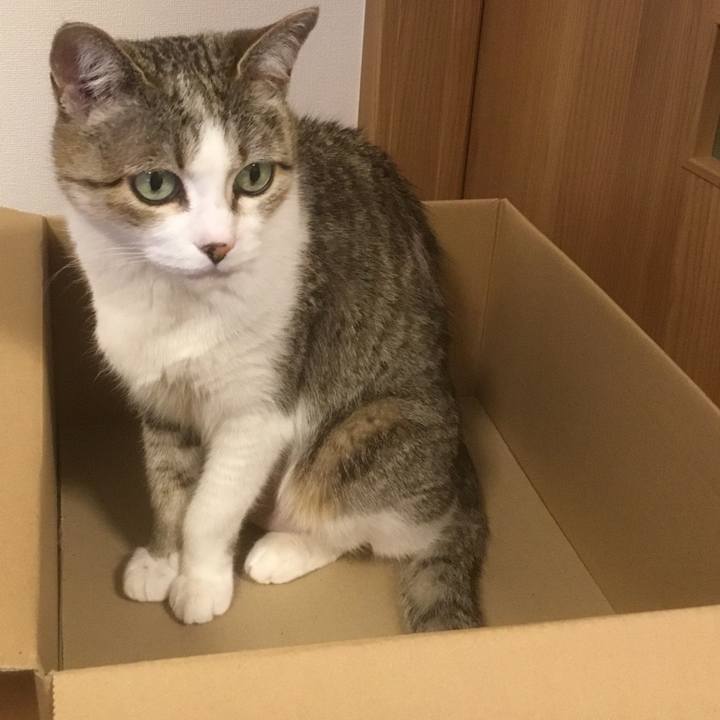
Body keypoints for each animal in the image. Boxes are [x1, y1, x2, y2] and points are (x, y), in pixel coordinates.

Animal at [49, 7, 488, 630]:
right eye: (155, 184)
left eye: (253, 177)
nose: (218, 246)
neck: (178, 305)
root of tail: (459, 473)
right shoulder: (159, 400)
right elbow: (168, 484)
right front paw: (162, 559)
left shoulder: (259, 411)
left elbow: (207, 508)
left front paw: (199, 583)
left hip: (364, 435)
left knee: (371, 525)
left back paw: (284, 549)